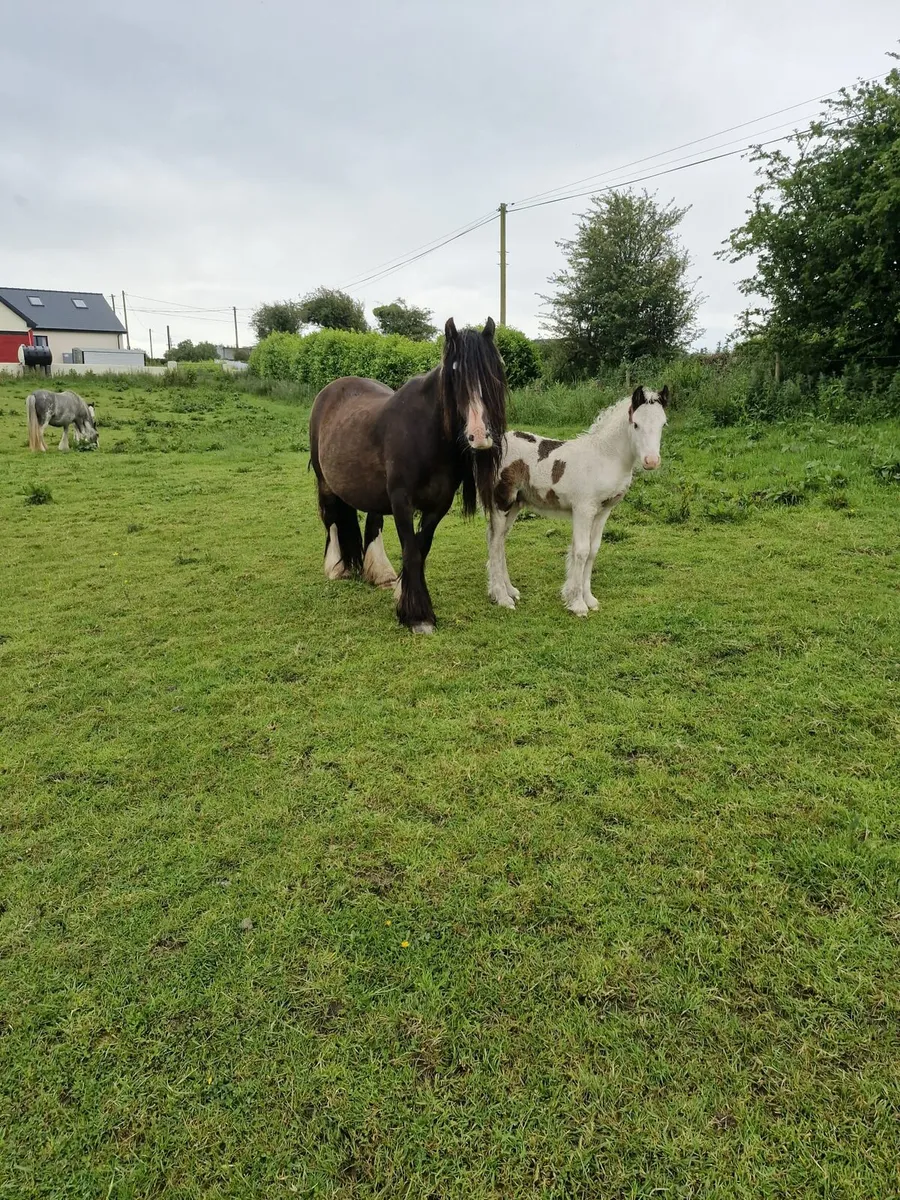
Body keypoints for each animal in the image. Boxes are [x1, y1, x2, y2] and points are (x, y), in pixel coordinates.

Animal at [309, 317, 508, 634]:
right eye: (454, 373)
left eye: (494, 370)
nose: (480, 436)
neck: (427, 435)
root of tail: (331, 390)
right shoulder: (402, 502)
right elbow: (411, 550)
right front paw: (418, 616)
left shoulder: (439, 505)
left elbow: (421, 547)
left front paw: (403, 594)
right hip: (325, 482)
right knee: (331, 520)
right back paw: (336, 568)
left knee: (373, 522)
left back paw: (380, 573)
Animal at [486, 385, 669, 616]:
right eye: (636, 424)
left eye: (663, 424)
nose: (651, 461)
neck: (604, 457)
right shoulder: (583, 509)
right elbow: (581, 551)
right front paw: (578, 604)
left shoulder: (603, 511)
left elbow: (593, 550)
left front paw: (588, 599)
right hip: (501, 502)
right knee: (495, 542)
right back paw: (502, 597)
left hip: (515, 505)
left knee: (500, 540)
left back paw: (509, 590)